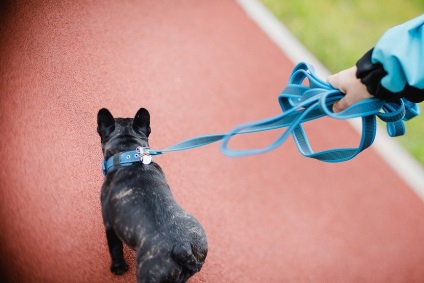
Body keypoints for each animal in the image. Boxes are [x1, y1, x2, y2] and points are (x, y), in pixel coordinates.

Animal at [96, 108, 209, 283]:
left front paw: (118, 268)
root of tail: (183, 248)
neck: (129, 155)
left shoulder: (109, 224)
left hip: (150, 274)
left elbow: (115, 249)